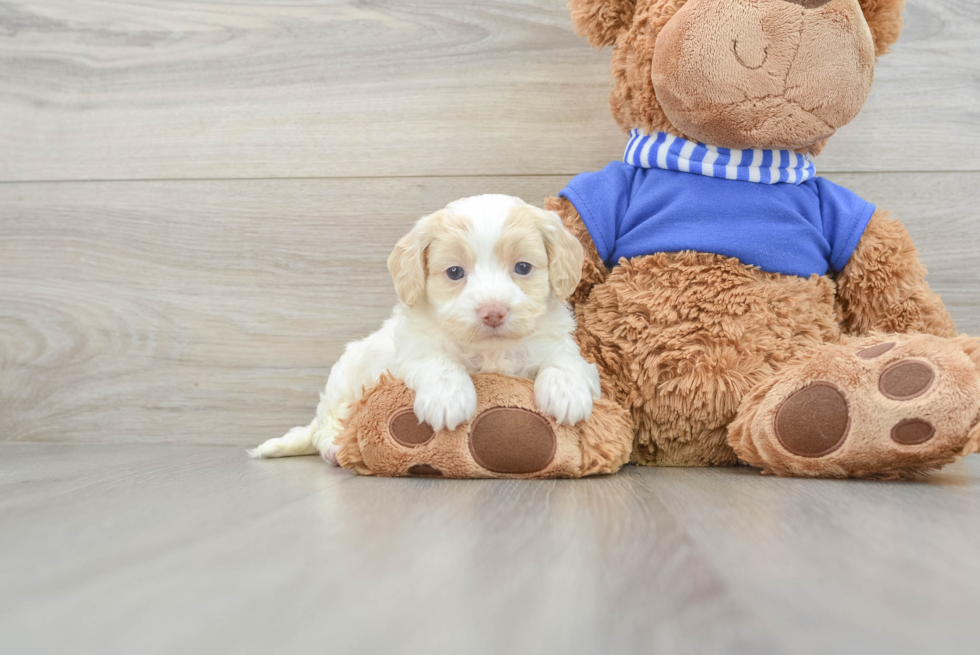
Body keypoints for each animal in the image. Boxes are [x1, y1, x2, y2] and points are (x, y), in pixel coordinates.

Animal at [249, 192, 600, 464]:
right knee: (328, 421)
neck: (490, 350)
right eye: (455, 272)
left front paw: (567, 392)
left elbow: (565, 360)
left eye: (523, 267)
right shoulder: (414, 347)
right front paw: (447, 398)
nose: (493, 313)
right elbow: (437, 361)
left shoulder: (555, 341)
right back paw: (335, 446)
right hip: (344, 378)